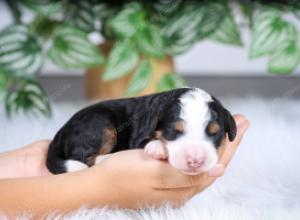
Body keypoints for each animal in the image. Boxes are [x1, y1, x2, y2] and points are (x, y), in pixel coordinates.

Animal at [46, 87, 237, 175]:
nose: (195, 161)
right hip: (100, 125)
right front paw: (158, 147)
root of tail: (59, 133)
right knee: (84, 158)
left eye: (215, 133)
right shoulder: (138, 136)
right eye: (173, 131)